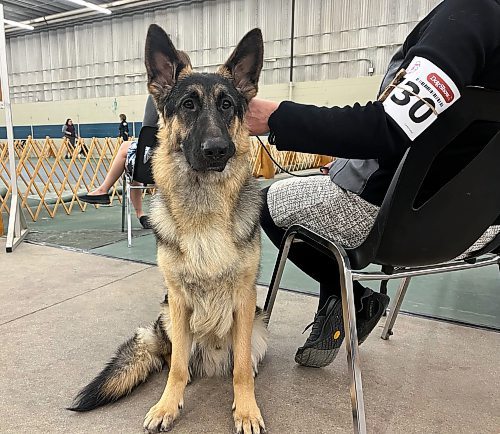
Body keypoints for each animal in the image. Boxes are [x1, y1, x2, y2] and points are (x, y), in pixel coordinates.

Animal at [69, 24, 270, 434]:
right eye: (188, 105)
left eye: (227, 105)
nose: (217, 150)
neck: (204, 209)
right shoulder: (178, 301)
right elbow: (176, 368)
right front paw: (167, 405)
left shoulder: (244, 302)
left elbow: (241, 368)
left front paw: (246, 410)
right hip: (168, 319)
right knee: (173, 359)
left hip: (259, 329)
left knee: (242, 360)